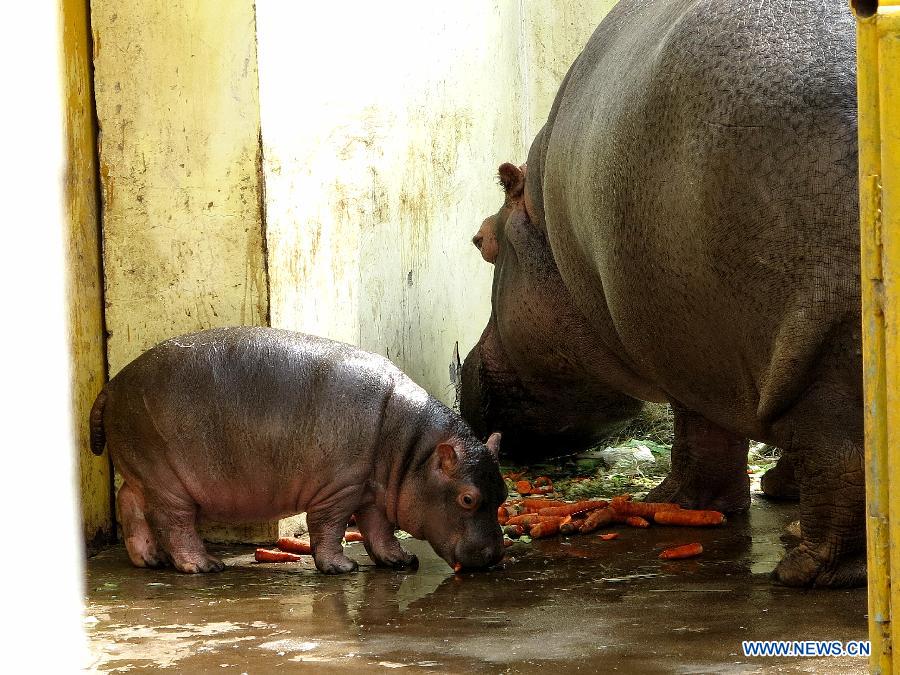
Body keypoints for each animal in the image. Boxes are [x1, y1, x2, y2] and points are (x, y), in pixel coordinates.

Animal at [90, 328, 506, 576]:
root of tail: (111, 385)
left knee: (129, 500)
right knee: (174, 523)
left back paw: (149, 560)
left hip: (143, 472)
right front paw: (341, 568)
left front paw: (401, 561)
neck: (414, 448)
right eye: (468, 498)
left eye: (502, 493)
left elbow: (379, 530)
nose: (495, 556)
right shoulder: (339, 489)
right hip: (167, 481)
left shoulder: (371, 491)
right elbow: (328, 527)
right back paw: (205, 566)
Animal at [460, 0, 860, 588]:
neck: (553, 232)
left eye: (481, 241)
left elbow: (700, 435)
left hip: (824, 328)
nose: (463, 377)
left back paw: (804, 570)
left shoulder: (689, 350)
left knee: (844, 450)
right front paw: (778, 489)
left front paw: (667, 501)